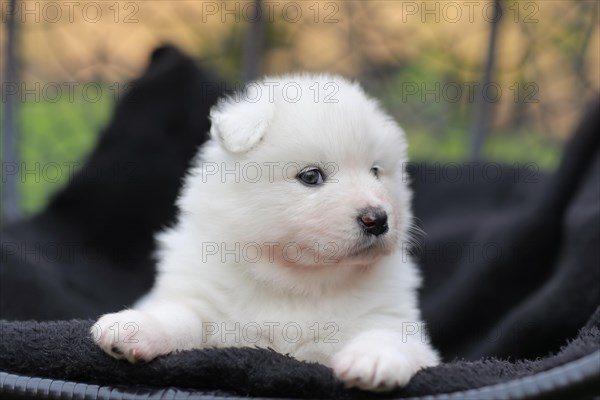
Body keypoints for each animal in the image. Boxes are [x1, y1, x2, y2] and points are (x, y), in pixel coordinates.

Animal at [94, 74, 440, 390]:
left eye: (376, 171)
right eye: (311, 176)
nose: (377, 219)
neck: (296, 281)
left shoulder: (393, 318)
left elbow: (389, 336)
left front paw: (372, 360)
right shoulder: (204, 300)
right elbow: (179, 315)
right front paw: (132, 326)